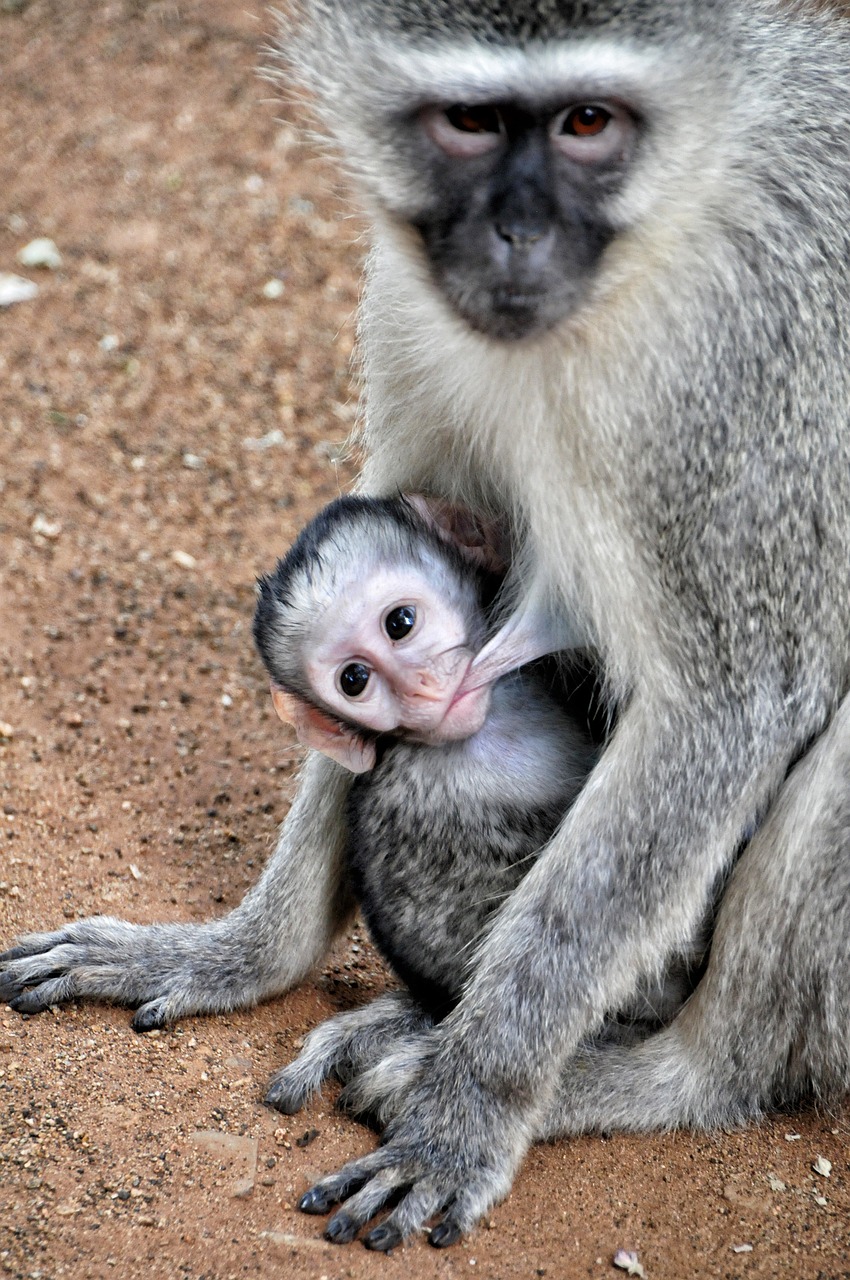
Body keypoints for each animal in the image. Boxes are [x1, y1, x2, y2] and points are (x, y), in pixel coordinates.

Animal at [4, 0, 850, 1249]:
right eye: (468, 122)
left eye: (587, 121)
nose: (514, 237)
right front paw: (242, 954)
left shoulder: (734, 384)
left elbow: (729, 700)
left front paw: (471, 1108)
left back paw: (665, 1072)